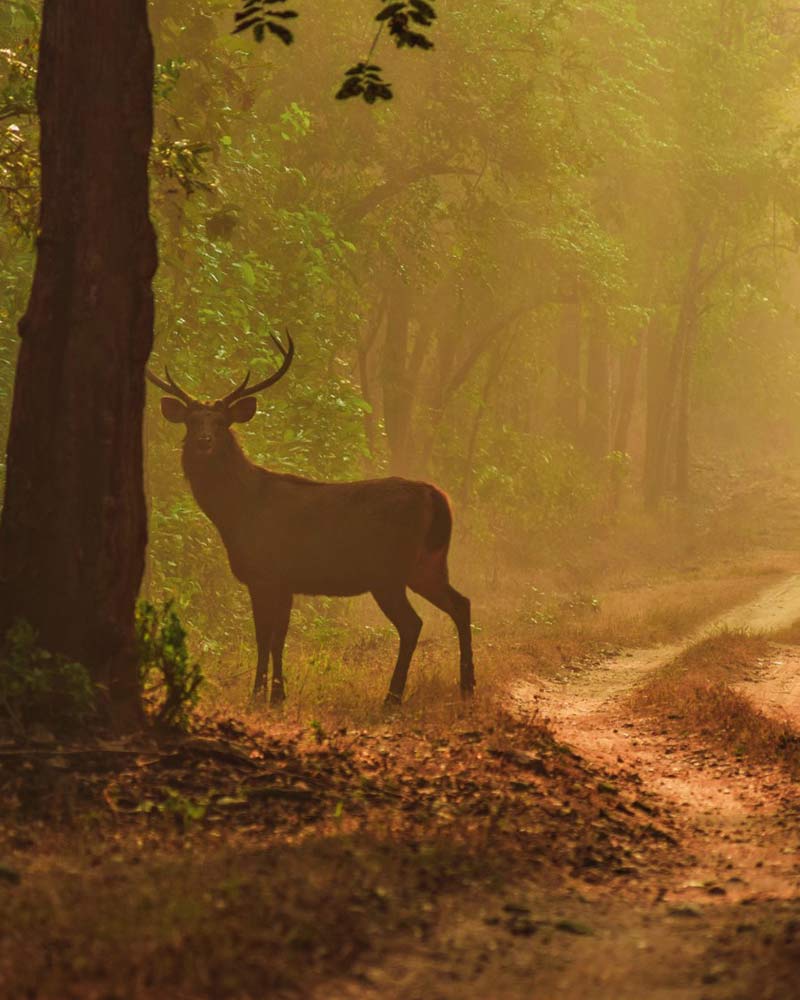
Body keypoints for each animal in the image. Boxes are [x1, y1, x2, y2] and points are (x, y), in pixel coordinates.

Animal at [145, 336, 476, 712]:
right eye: (191, 421)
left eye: (221, 422)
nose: (204, 442)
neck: (237, 512)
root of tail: (436, 497)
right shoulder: (286, 581)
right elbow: (278, 637)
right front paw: (277, 694)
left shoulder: (265, 573)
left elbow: (264, 635)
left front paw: (259, 695)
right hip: (427, 564)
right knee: (461, 603)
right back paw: (466, 686)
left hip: (388, 571)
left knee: (412, 623)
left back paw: (392, 697)